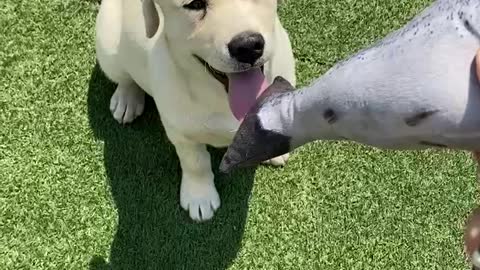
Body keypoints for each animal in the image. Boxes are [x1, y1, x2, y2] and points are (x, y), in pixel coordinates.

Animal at [95, 0, 294, 220]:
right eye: (194, 4)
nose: (248, 46)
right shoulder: (181, 133)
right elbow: (195, 163)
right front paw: (200, 197)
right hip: (108, 47)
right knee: (125, 78)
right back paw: (126, 99)